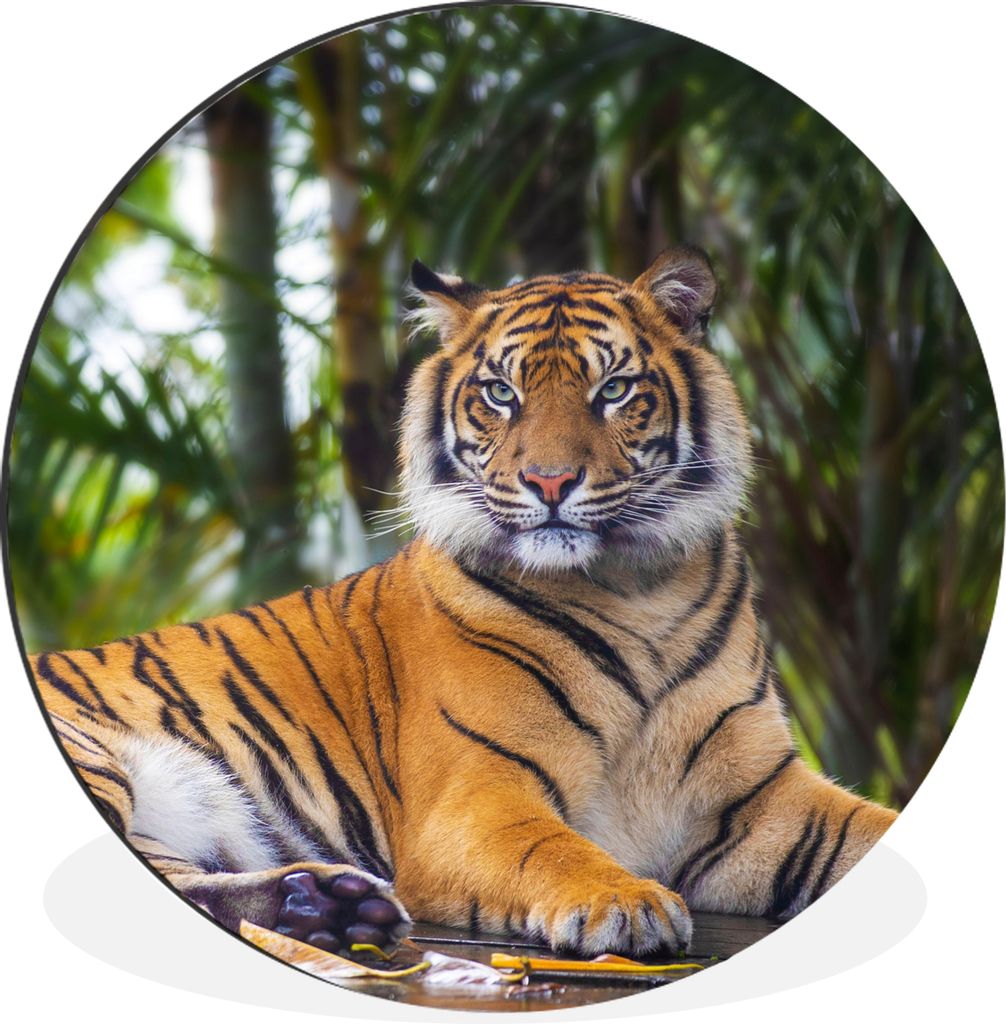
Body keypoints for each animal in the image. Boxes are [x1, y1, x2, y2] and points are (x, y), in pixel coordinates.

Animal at [27, 246, 897, 960]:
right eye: (500, 394)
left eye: (614, 390)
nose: (550, 481)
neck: (635, 590)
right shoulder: (479, 796)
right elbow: (554, 847)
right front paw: (625, 900)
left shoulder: (760, 796)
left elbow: (870, 830)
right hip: (95, 752)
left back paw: (323, 906)